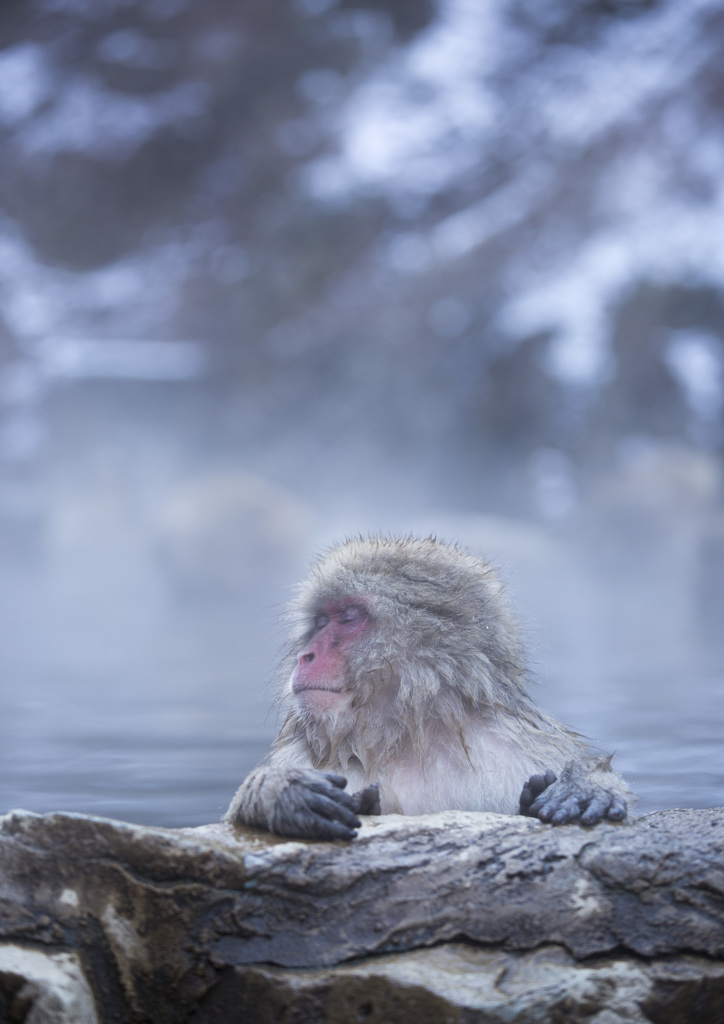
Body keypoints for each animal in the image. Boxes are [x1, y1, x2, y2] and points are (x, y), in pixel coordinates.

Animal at [223, 532, 630, 835]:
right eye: (321, 622)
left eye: (349, 617)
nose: (306, 655)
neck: (410, 736)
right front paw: (277, 791)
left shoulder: (527, 744)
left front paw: (587, 785)